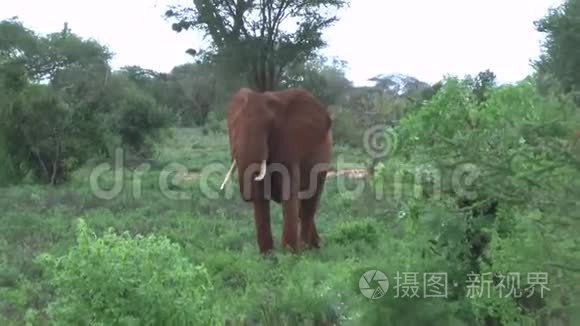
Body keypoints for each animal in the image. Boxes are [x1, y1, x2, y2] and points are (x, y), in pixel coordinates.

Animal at [220, 87, 334, 255]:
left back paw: (308, 249)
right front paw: (267, 257)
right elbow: (260, 195)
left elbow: (288, 192)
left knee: (310, 200)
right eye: (232, 130)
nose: (245, 197)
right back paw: (314, 246)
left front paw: (290, 255)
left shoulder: (290, 145)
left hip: (323, 162)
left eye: (269, 129)